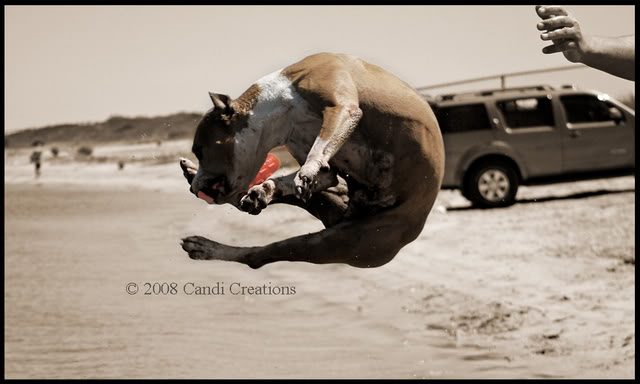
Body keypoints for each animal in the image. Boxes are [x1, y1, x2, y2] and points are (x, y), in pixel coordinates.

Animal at [178, 51, 442, 270]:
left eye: (199, 149)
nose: (195, 188)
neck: (281, 105)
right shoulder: (305, 147)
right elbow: (323, 174)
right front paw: (270, 187)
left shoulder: (342, 108)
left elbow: (320, 149)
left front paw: (306, 170)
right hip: (334, 215)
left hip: (339, 242)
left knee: (260, 255)